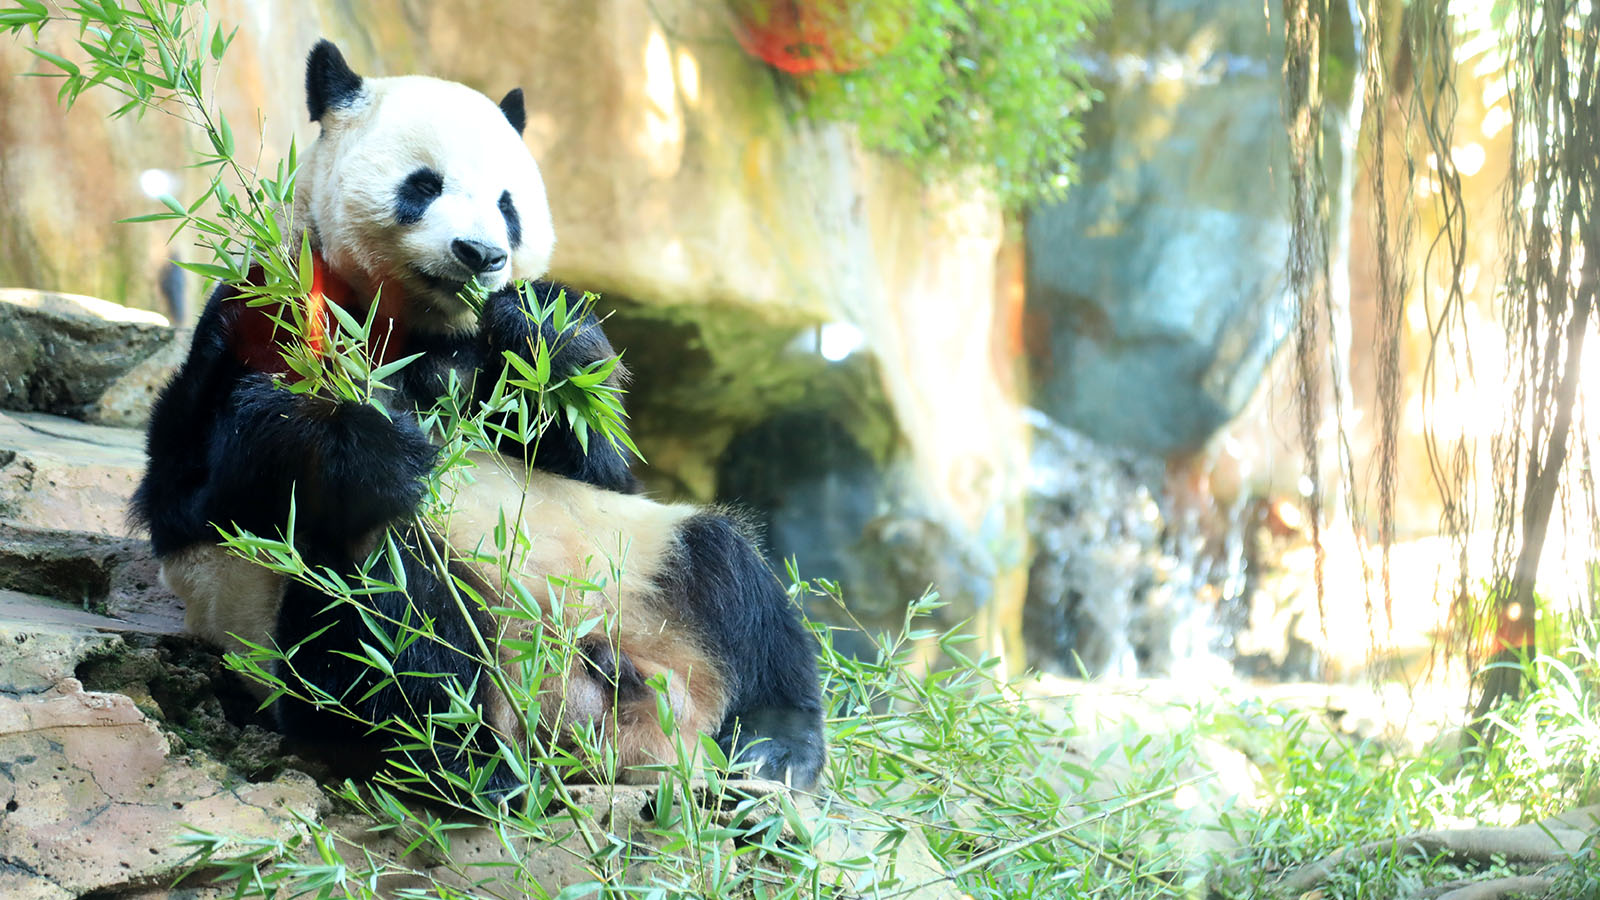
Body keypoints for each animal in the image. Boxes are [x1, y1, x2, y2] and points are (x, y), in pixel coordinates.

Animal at [131, 40, 826, 794]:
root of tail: (595, 721)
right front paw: (368, 446)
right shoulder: (261, 314)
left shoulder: (494, 377)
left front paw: (545, 331)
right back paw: (468, 762)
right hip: (336, 633)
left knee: (731, 577)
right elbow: (199, 484)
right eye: (423, 186)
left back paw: (775, 748)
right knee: (390, 612)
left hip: (636, 561)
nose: (482, 255)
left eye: (508, 205)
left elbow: (592, 451)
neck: (411, 326)